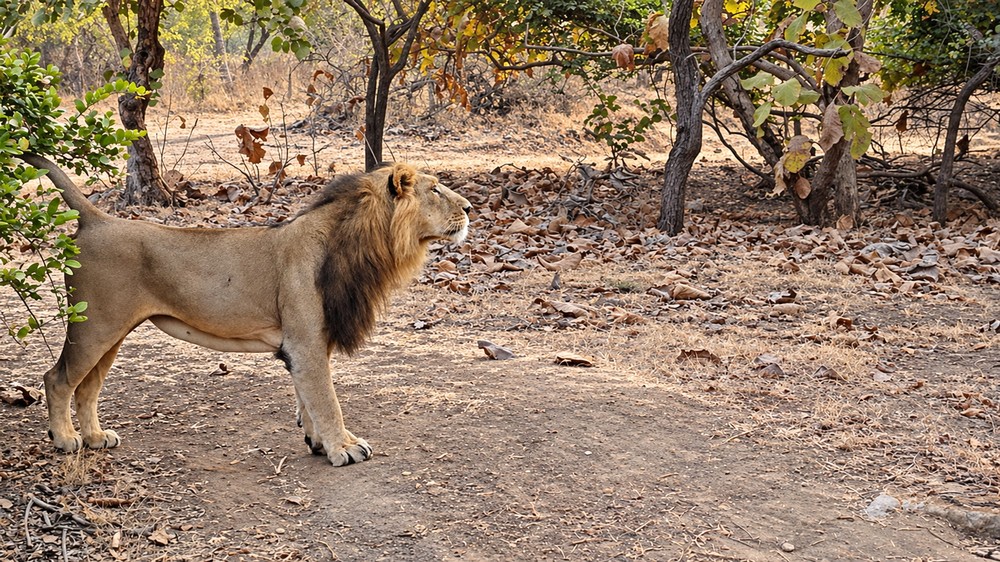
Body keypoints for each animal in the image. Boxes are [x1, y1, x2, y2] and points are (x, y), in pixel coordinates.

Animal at [19, 153, 471, 467]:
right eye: (435, 189)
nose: (469, 208)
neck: (359, 242)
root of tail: (96, 218)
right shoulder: (306, 344)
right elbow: (327, 400)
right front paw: (343, 446)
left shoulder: (306, 345)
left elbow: (307, 399)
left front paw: (317, 442)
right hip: (95, 325)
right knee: (57, 379)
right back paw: (65, 440)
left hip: (111, 331)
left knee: (87, 387)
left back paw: (96, 437)